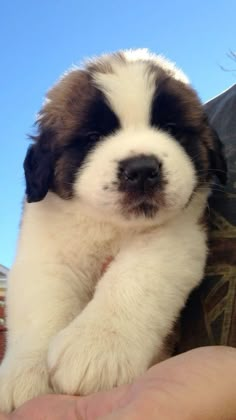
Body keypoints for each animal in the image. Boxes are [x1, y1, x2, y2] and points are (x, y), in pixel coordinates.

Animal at [0, 48, 226, 410]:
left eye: (171, 128)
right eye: (93, 138)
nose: (142, 170)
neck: (108, 226)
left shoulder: (177, 234)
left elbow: (133, 277)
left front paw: (98, 347)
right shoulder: (45, 253)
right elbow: (42, 304)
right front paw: (25, 371)